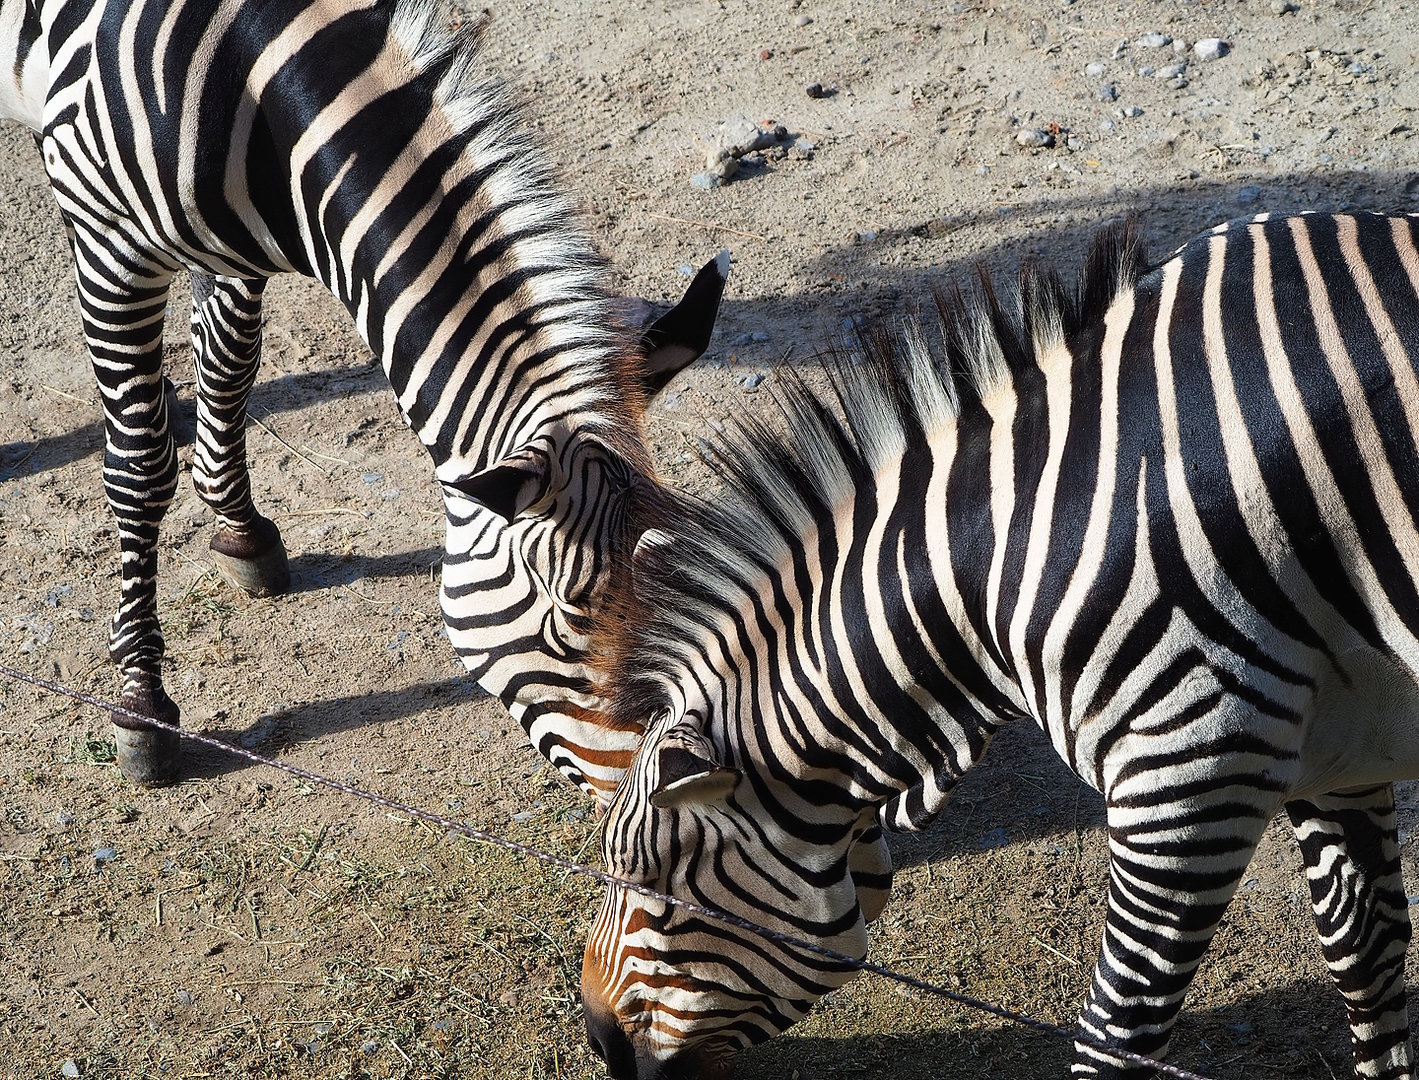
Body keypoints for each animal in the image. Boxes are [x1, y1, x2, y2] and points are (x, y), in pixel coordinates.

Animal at [0, 0, 725, 795]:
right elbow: (139, 468)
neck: (250, 74)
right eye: (571, 617)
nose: (668, 787)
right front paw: (142, 702)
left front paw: (239, 528)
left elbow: (228, 365)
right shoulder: (110, 245)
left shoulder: (234, 243)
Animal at [580, 211, 1419, 1079]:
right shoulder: (1326, 744)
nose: (597, 1041)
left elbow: (1115, 1035)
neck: (1020, 553)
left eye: (649, 877)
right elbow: (1365, 948)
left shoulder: (1192, 768)